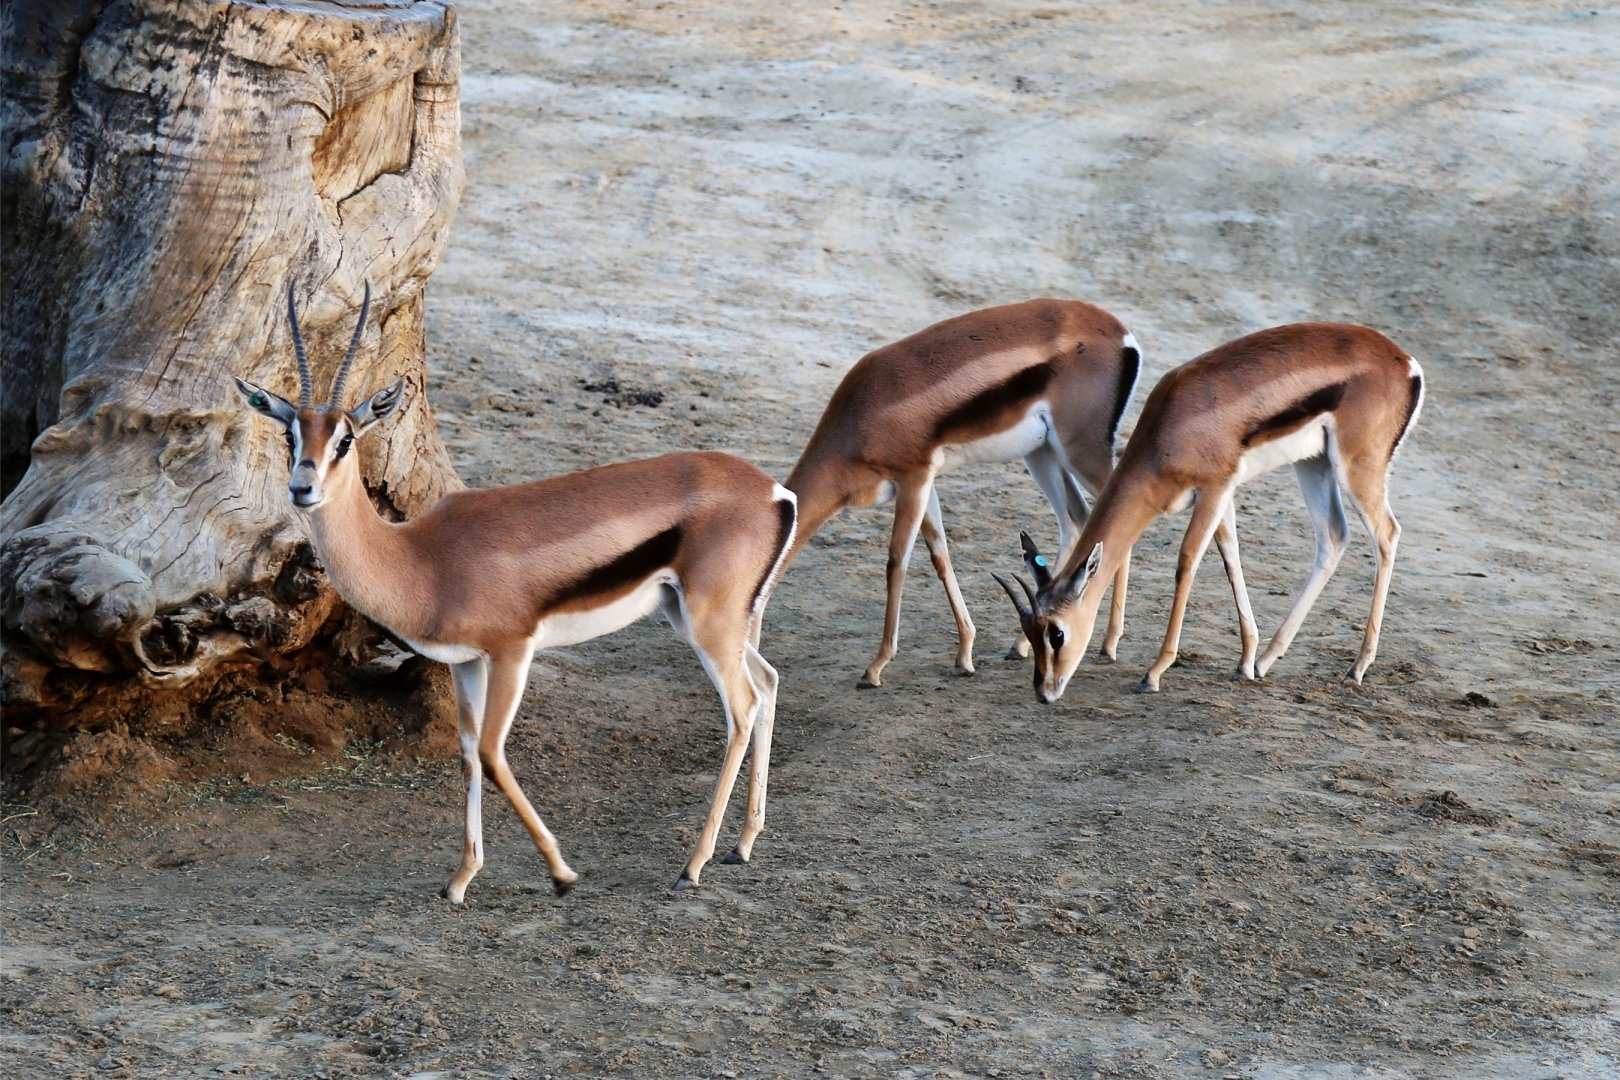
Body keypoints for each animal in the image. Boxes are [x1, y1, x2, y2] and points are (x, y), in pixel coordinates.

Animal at [235, 285, 797, 899]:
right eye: (290, 433)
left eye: (346, 438)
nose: (302, 488)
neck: (421, 557)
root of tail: (775, 493)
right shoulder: (464, 663)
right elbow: (466, 755)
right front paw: (460, 880)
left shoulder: (511, 651)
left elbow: (491, 753)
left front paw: (561, 873)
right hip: (705, 620)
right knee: (768, 682)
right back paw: (742, 846)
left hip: (708, 625)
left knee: (742, 708)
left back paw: (692, 864)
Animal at [783, 298, 1142, 687]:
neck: (860, 414)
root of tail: (1121, 333)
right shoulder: (925, 484)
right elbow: (940, 556)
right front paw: (965, 655)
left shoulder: (913, 479)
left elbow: (897, 563)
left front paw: (875, 667)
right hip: (1042, 453)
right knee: (1077, 520)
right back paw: (1021, 645)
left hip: (1080, 451)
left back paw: (1109, 646)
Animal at [995, 322, 1425, 703]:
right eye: (1029, 630)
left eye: (1056, 633)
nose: (1044, 691)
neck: (1167, 430)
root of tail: (1406, 363)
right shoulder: (1223, 495)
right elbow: (1230, 555)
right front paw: (1246, 662)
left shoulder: (1215, 488)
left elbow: (1187, 562)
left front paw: (1153, 673)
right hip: (1313, 464)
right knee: (1333, 537)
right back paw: (1268, 659)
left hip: (1356, 468)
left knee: (1387, 534)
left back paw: (1357, 668)